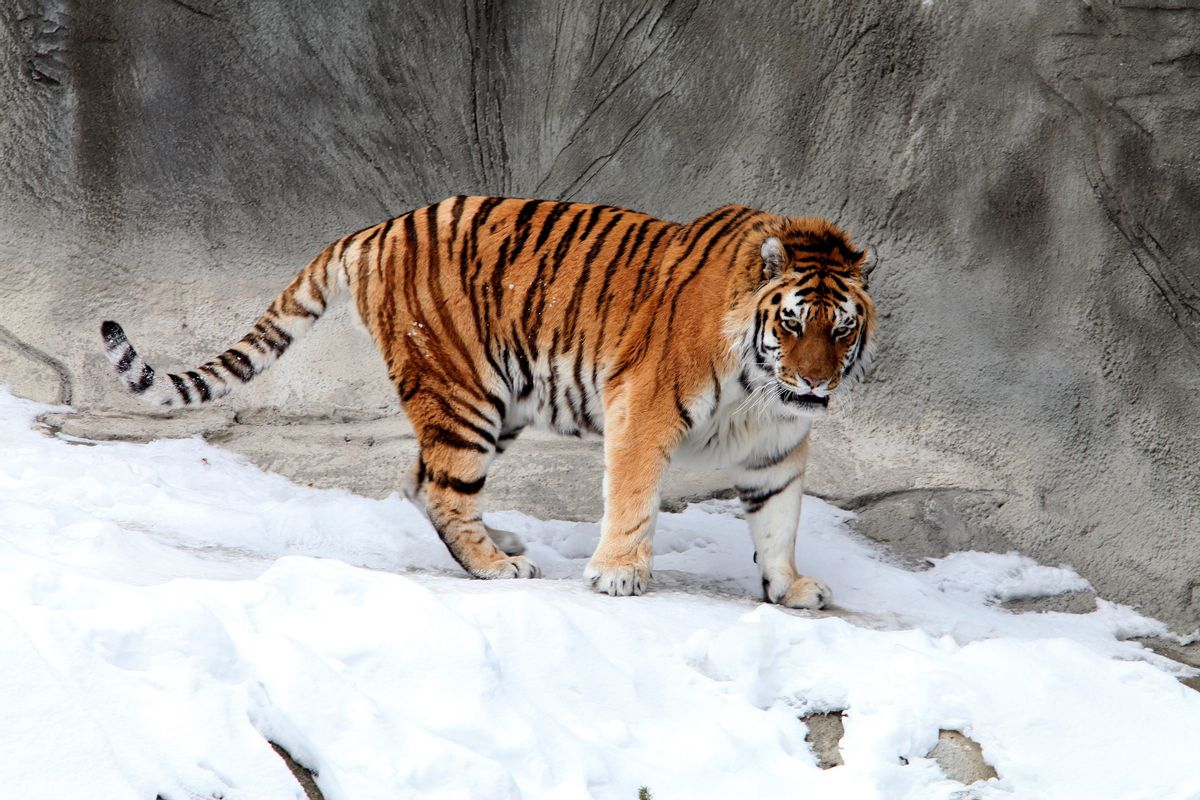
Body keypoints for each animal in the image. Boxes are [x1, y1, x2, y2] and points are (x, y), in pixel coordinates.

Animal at [101, 196, 877, 608]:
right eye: (791, 323)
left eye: (841, 328)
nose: (816, 384)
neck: (760, 387)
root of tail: (377, 228)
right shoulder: (644, 407)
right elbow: (632, 498)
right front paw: (618, 575)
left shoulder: (778, 446)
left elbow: (779, 520)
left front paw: (790, 587)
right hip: (464, 392)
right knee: (446, 491)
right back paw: (497, 567)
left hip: (497, 403)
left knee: (421, 481)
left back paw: (499, 542)